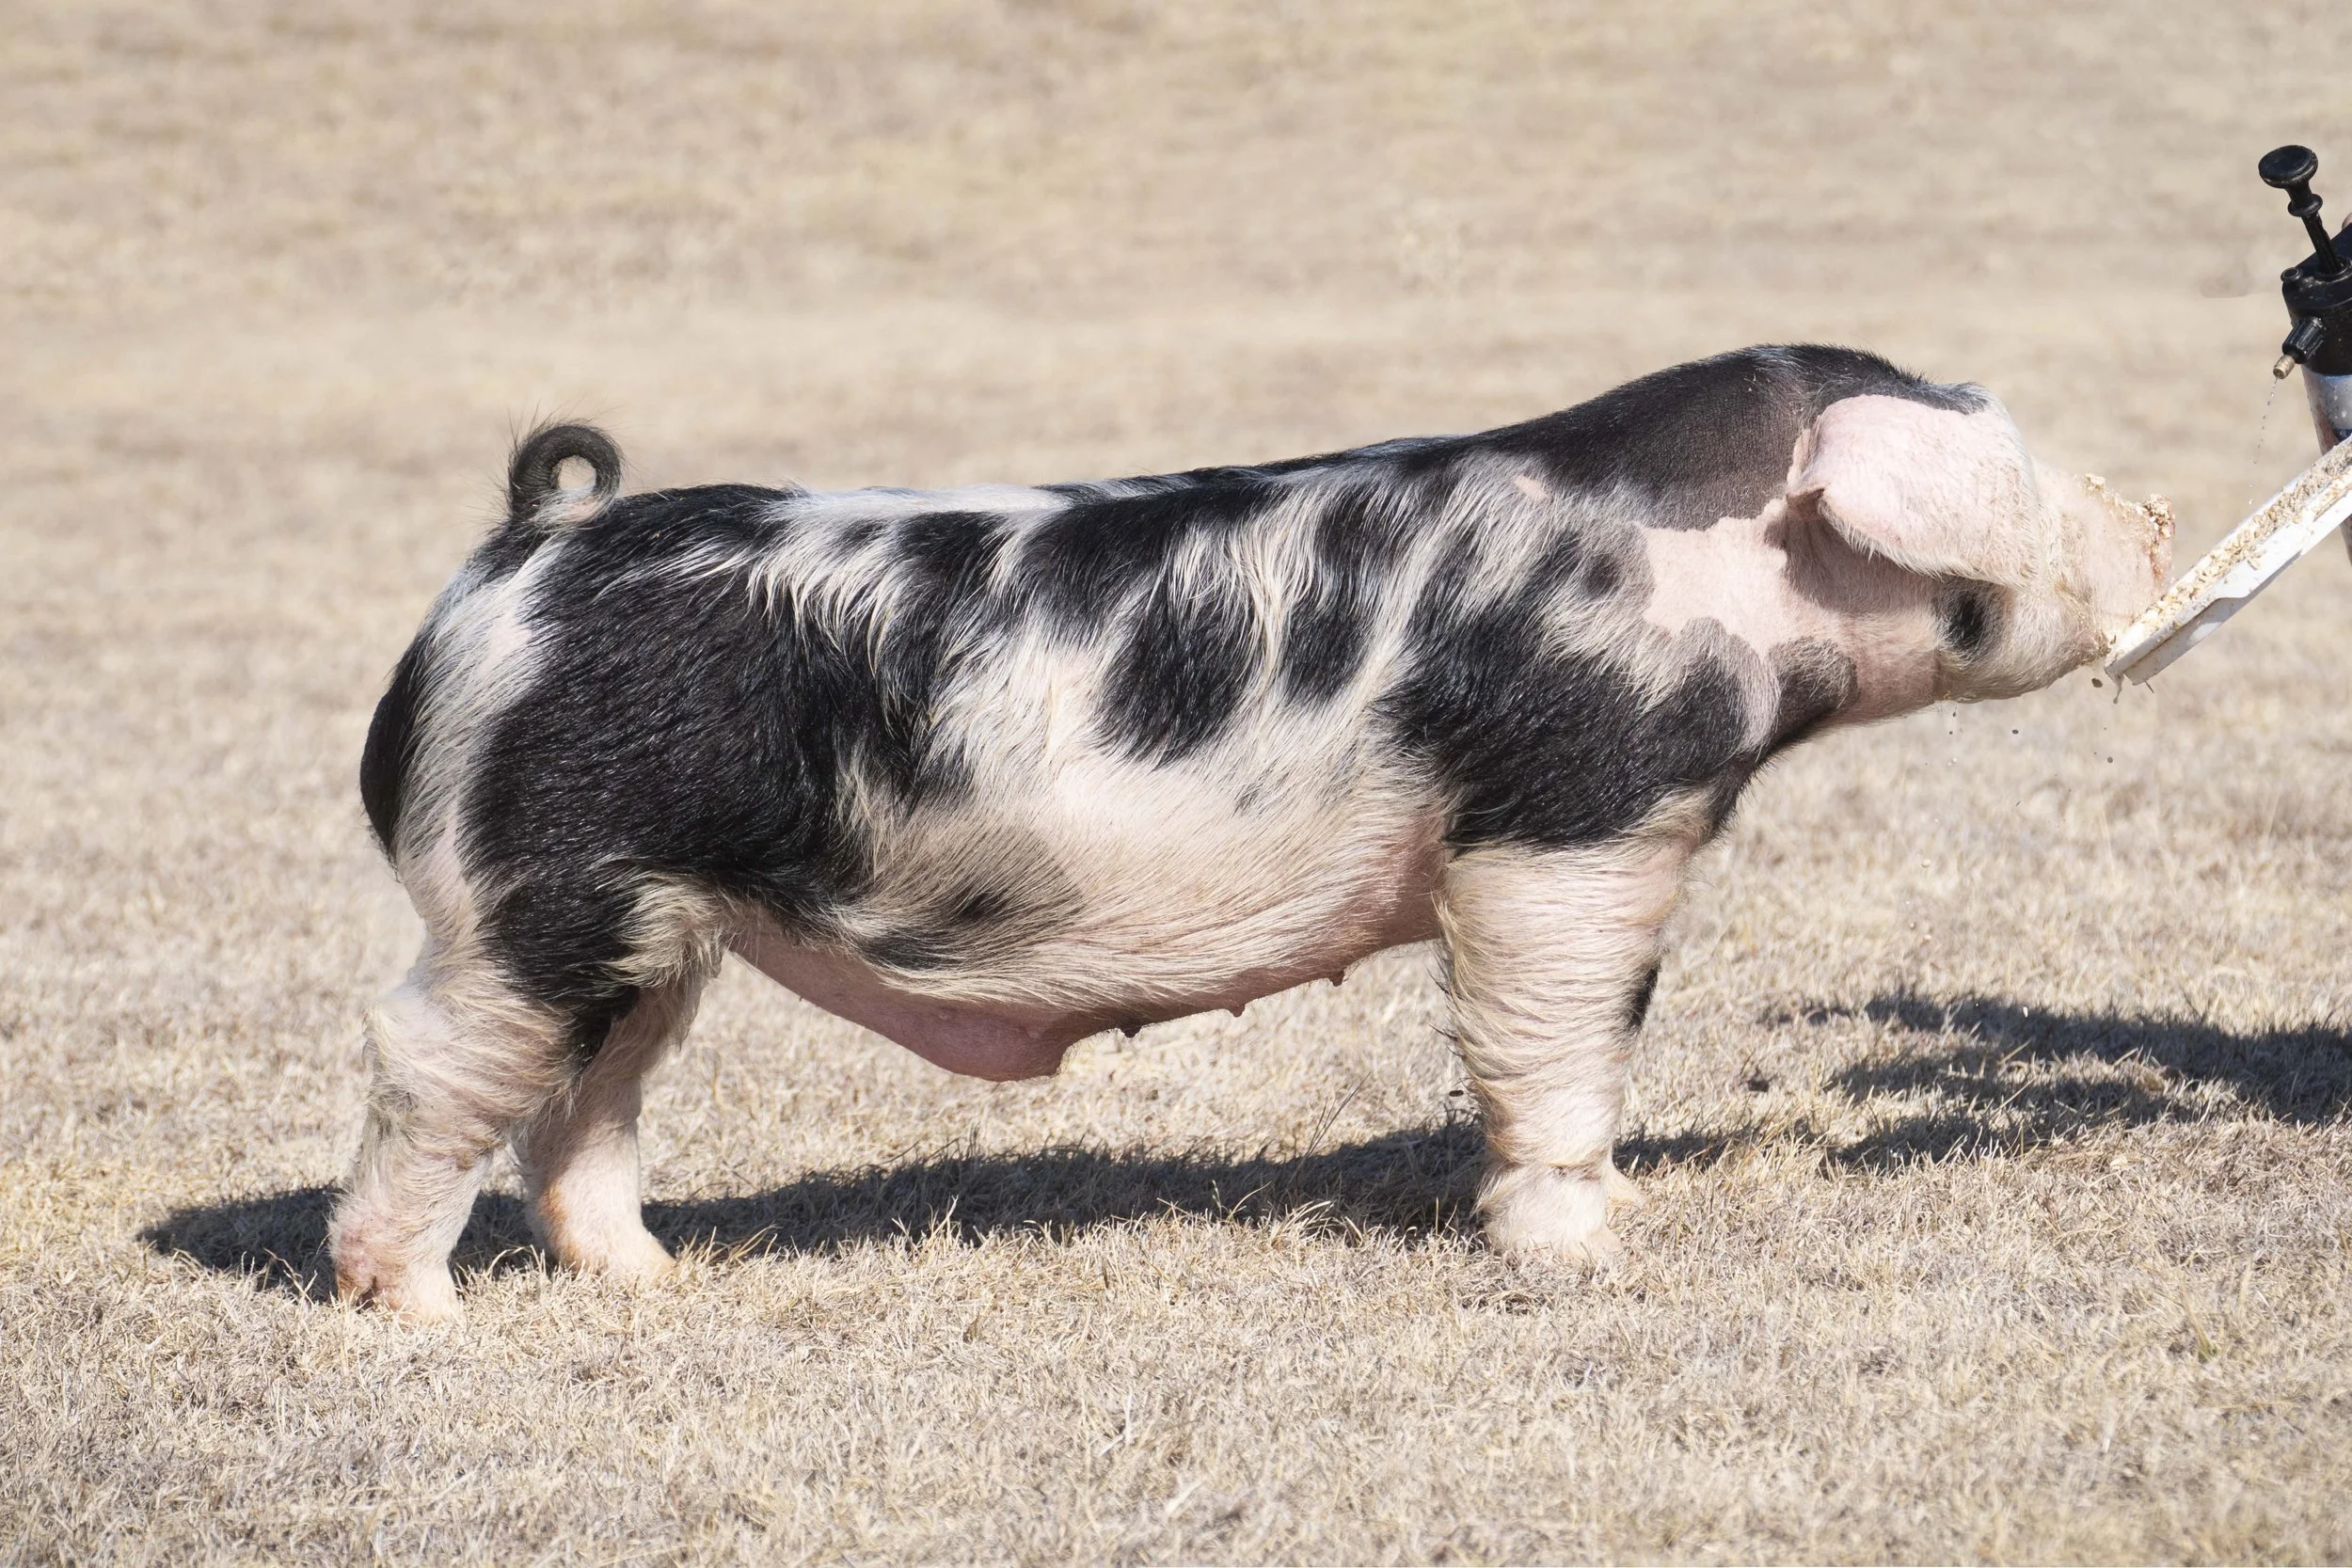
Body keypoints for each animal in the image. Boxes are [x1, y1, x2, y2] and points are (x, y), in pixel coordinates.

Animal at [335, 344, 2171, 1320]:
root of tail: (520, 557)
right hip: (527, 884)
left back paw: (652, 1282)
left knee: (586, 1098)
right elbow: (1556, 1041)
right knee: (431, 1060)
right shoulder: (1565, 822)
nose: (2152, 525)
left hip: (658, 927)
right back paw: (417, 1312)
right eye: (2025, 476)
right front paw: (1589, 1246)